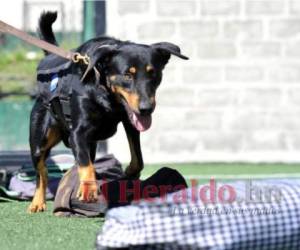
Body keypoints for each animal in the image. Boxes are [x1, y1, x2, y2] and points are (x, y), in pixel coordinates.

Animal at [28, 12, 188, 213]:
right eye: (127, 75)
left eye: (153, 74)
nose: (146, 108)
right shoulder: (77, 133)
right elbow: (85, 164)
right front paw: (88, 189)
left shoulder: (130, 122)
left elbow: (138, 159)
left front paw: (129, 174)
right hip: (40, 138)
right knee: (42, 170)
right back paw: (37, 202)